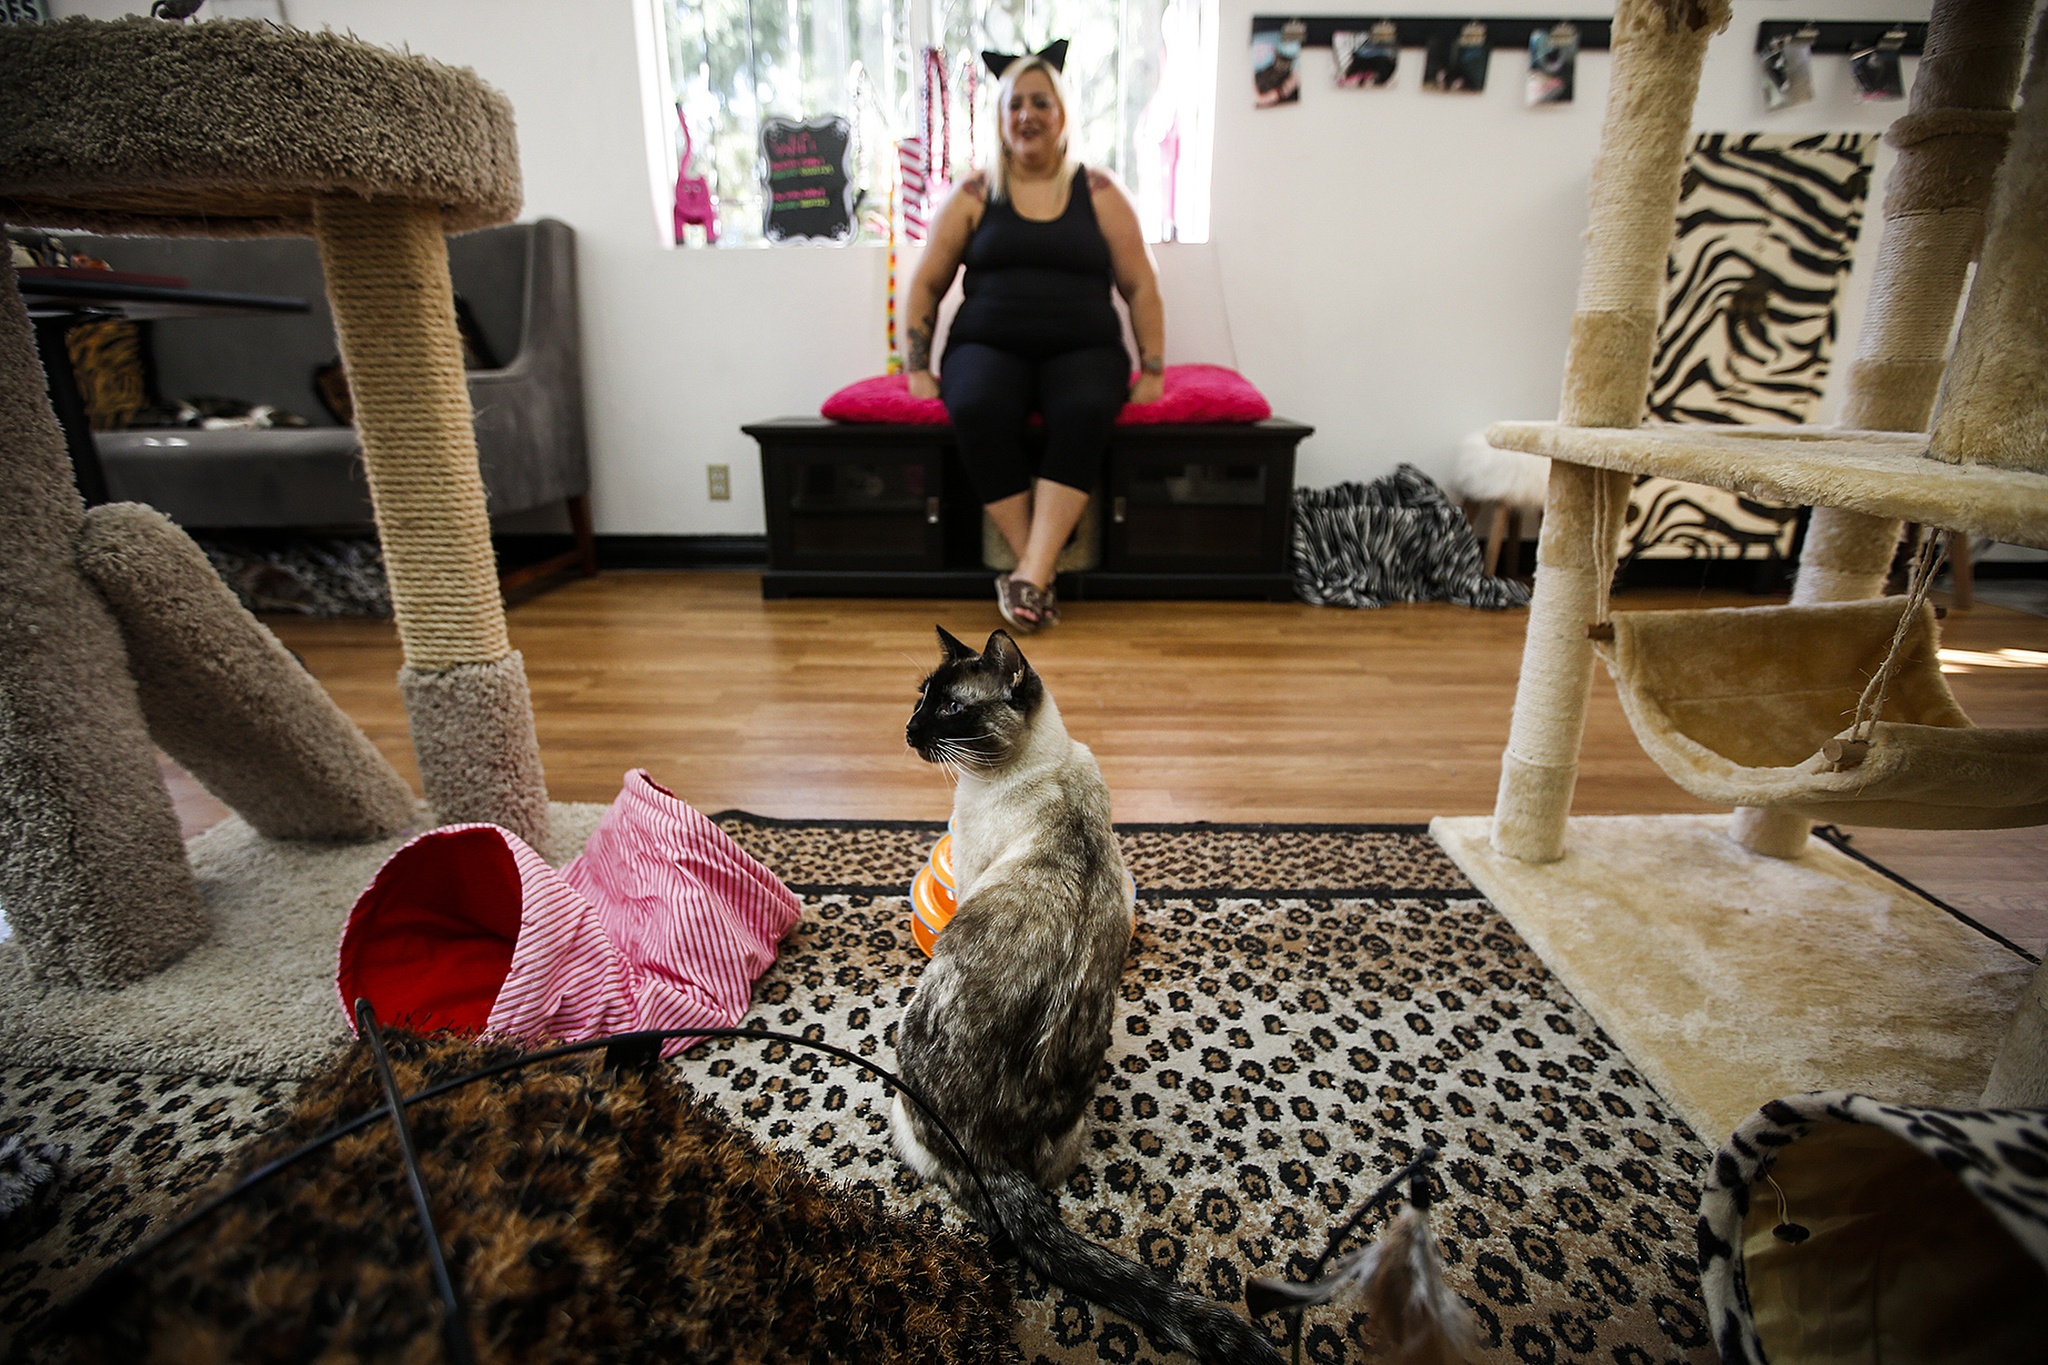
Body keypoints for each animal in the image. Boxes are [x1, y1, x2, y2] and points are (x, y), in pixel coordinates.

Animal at [897, 630, 1277, 1365]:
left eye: (951, 709)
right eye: (922, 697)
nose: (908, 729)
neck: (1034, 767)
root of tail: (988, 1150)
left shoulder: (968, 867)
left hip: (902, 1060)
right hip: (1071, 1125)